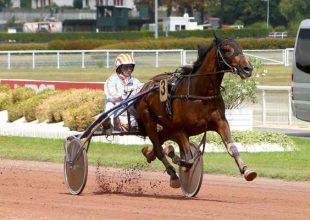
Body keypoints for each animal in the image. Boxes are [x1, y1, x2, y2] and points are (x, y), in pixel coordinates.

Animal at [134, 33, 256, 187]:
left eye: (240, 48)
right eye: (226, 49)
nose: (247, 68)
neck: (200, 93)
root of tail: (147, 85)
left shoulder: (221, 122)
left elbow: (232, 148)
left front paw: (247, 170)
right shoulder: (180, 128)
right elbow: (189, 160)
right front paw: (174, 156)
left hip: (167, 126)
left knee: (159, 143)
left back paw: (148, 152)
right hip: (149, 119)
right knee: (159, 149)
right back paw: (173, 174)